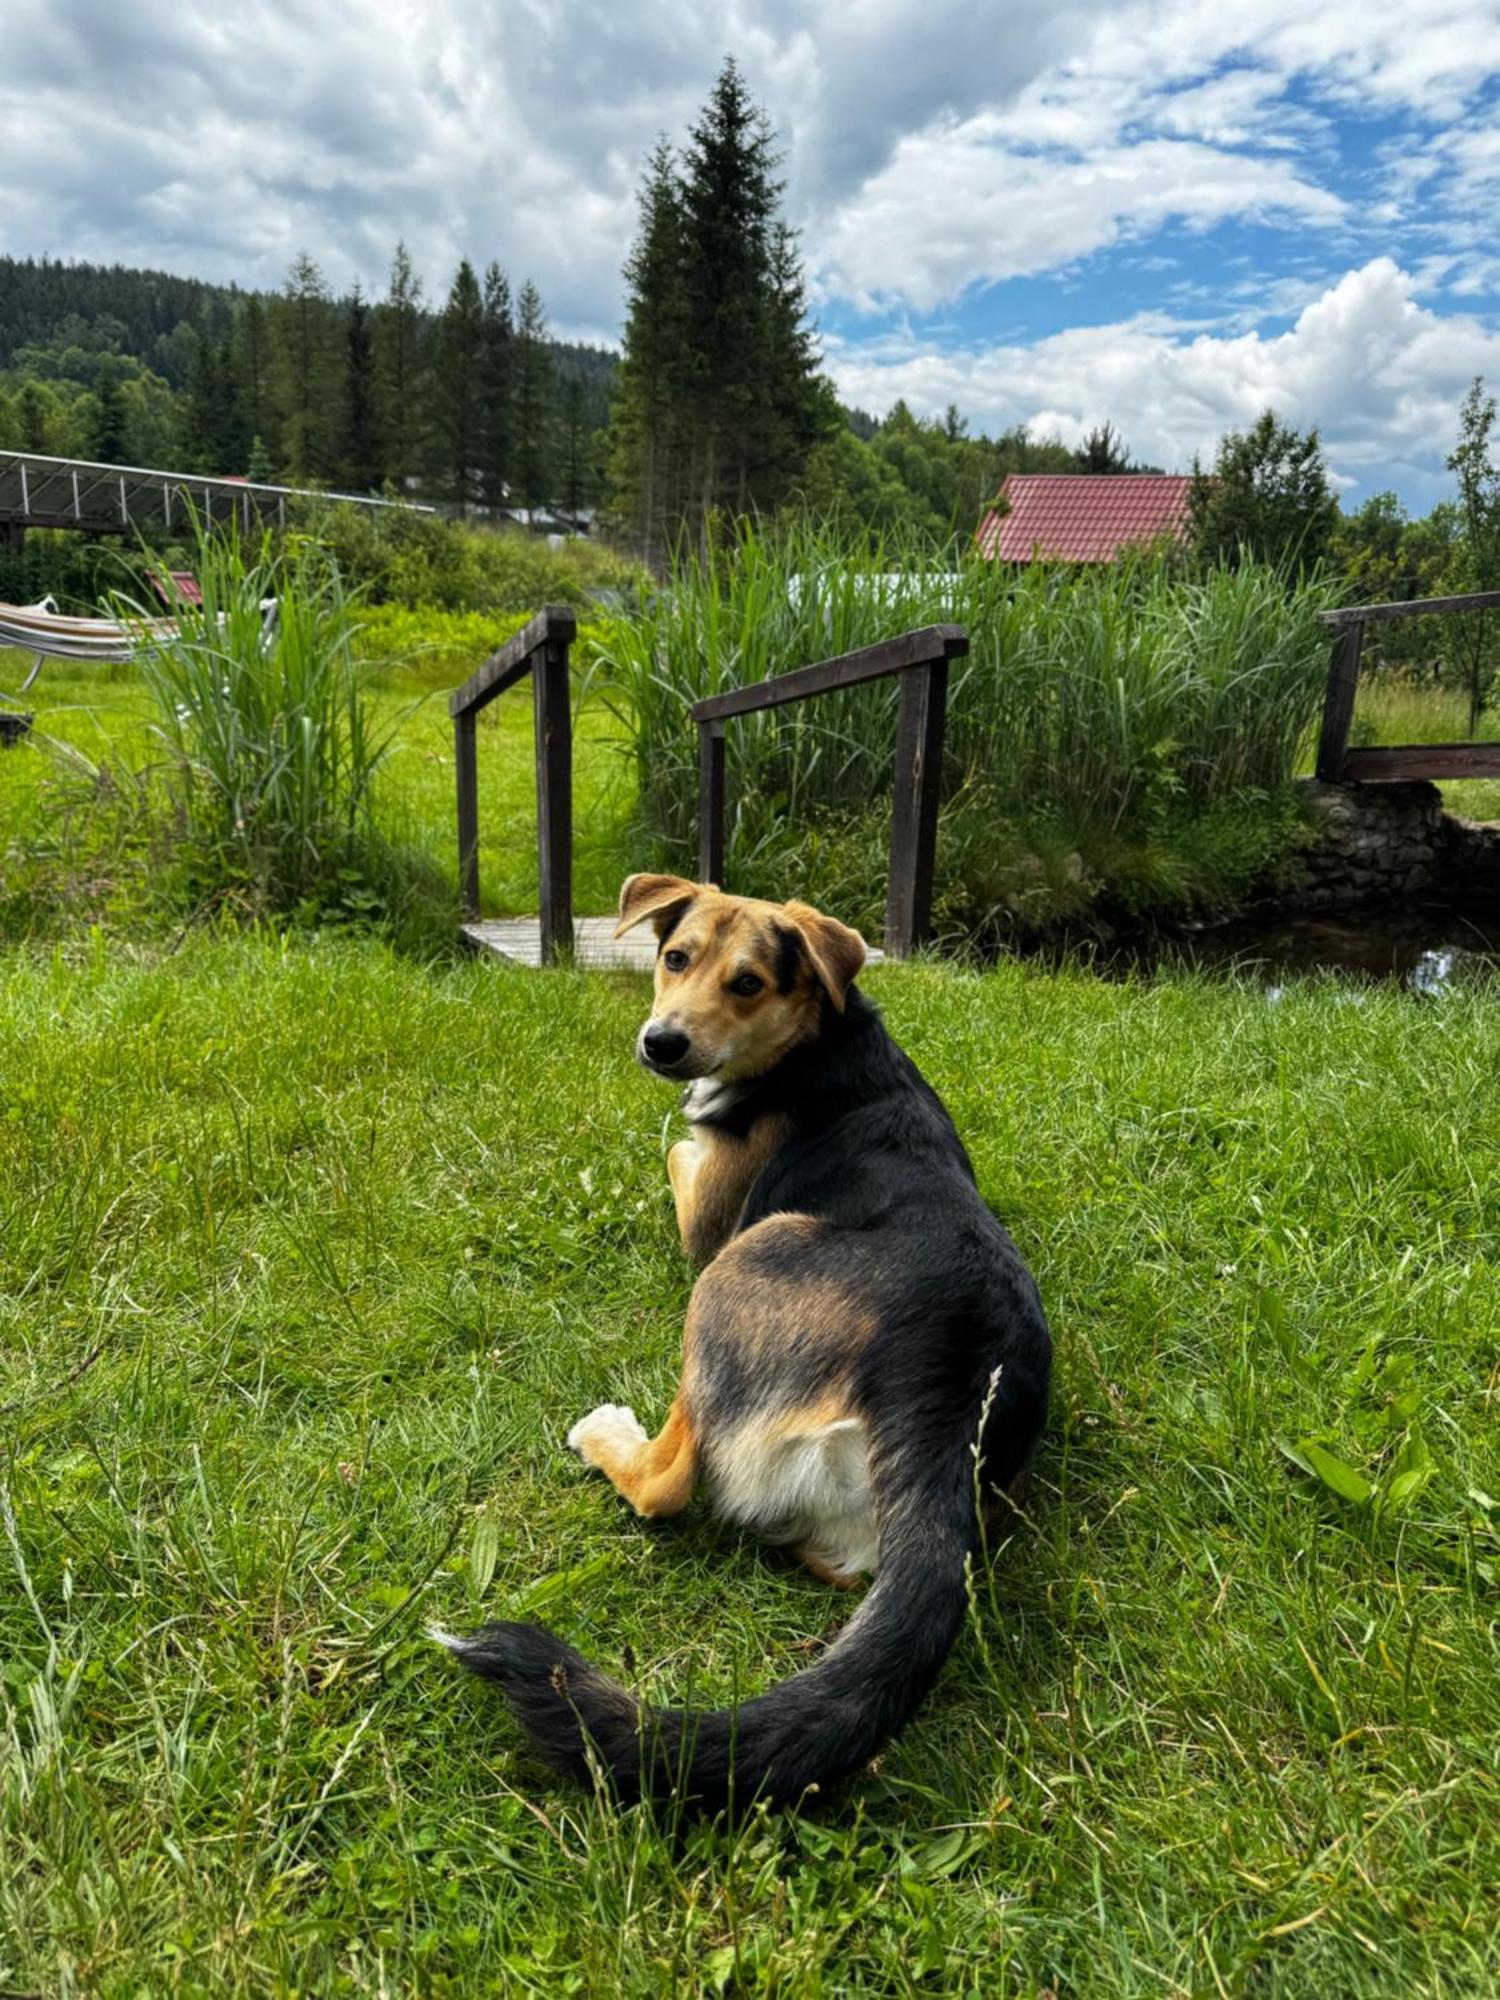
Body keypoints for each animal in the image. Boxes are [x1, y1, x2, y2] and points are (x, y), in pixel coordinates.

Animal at [440, 876, 1048, 1816]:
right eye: (675, 958)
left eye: (749, 983)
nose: (661, 1044)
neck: (813, 1039)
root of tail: (947, 1394)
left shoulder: (706, 1224)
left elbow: (674, 1152)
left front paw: (684, 1127)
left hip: (740, 1264)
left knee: (668, 1483)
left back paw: (606, 1434)